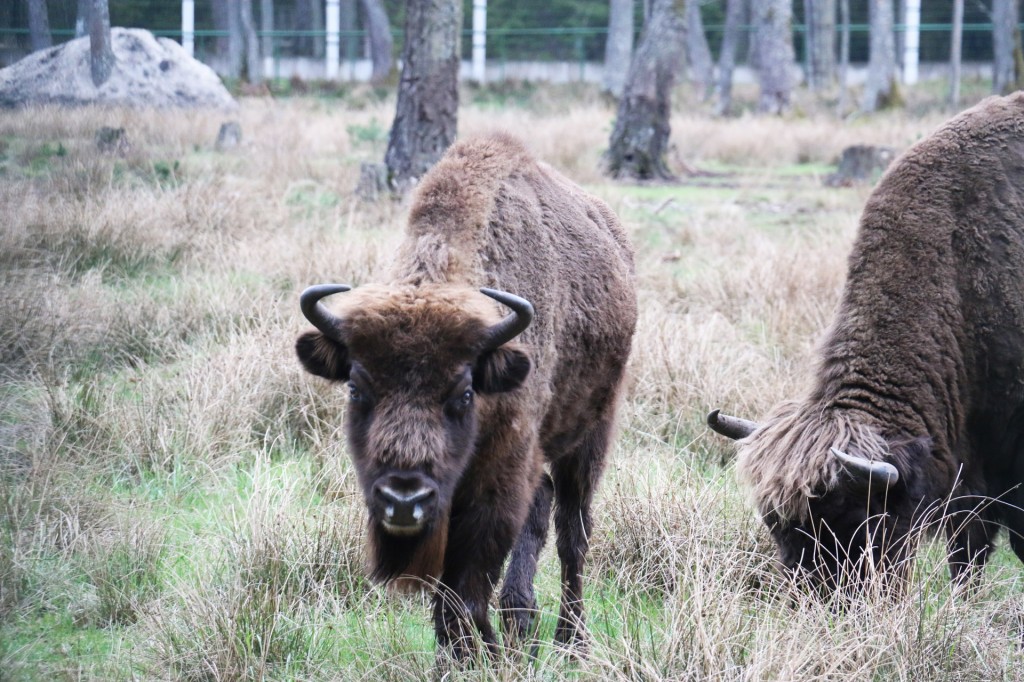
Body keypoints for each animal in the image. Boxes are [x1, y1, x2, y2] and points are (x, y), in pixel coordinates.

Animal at [292, 134, 634, 659]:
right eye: (355, 387)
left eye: (465, 390)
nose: (404, 499)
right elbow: (451, 593)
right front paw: (469, 653)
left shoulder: (497, 479)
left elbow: (467, 587)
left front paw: (475, 656)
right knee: (543, 510)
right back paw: (521, 621)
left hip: (591, 433)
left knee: (572, 533)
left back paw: (570, 640)